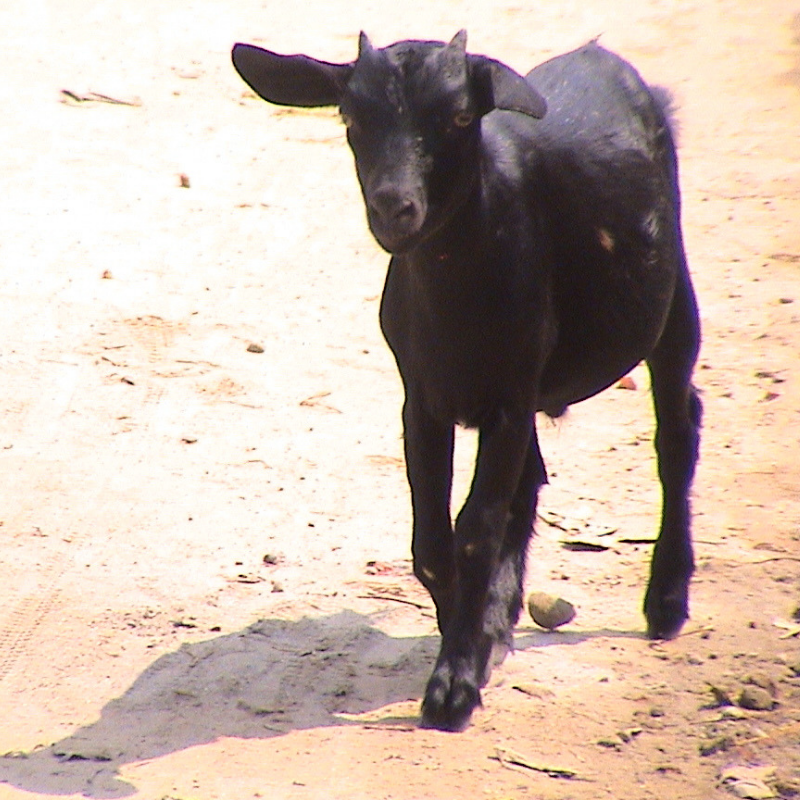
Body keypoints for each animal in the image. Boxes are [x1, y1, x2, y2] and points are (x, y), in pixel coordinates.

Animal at [232, 31, 702, 732]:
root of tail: (600, 55)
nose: (394, 207)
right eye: (350, 117)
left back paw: (667, 599)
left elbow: (476, 529)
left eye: (458, 117)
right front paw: (470, 638)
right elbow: (435, 541)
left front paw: (453, 684)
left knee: (677, 431)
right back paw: (503, 619)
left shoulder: (509, 393)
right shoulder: (422, 398)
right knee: (529, 484)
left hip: (671, 301)